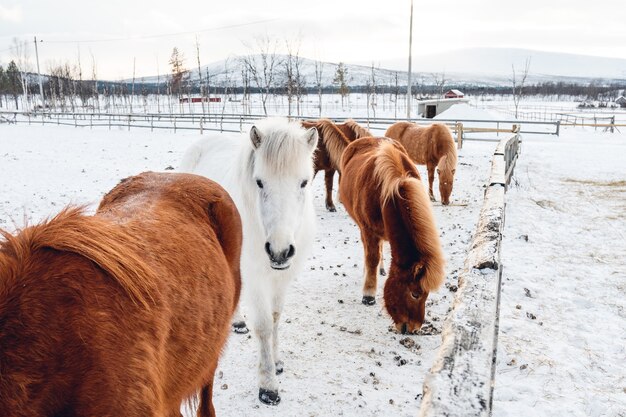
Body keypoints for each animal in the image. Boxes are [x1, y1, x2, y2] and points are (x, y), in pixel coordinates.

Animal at [179, 118, 316, 406]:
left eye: (304, 182)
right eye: (260, 182)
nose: (279, 251)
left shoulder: (281, 278)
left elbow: (275, 318)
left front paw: (276, 362)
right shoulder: (256, 277)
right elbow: (263, 326)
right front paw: (268, 386)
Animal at [338, 138, 446, 334]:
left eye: (427, 294)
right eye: (415, 294)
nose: (413, 328)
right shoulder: (368, 230)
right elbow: (372, 257)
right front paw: (368, 294)